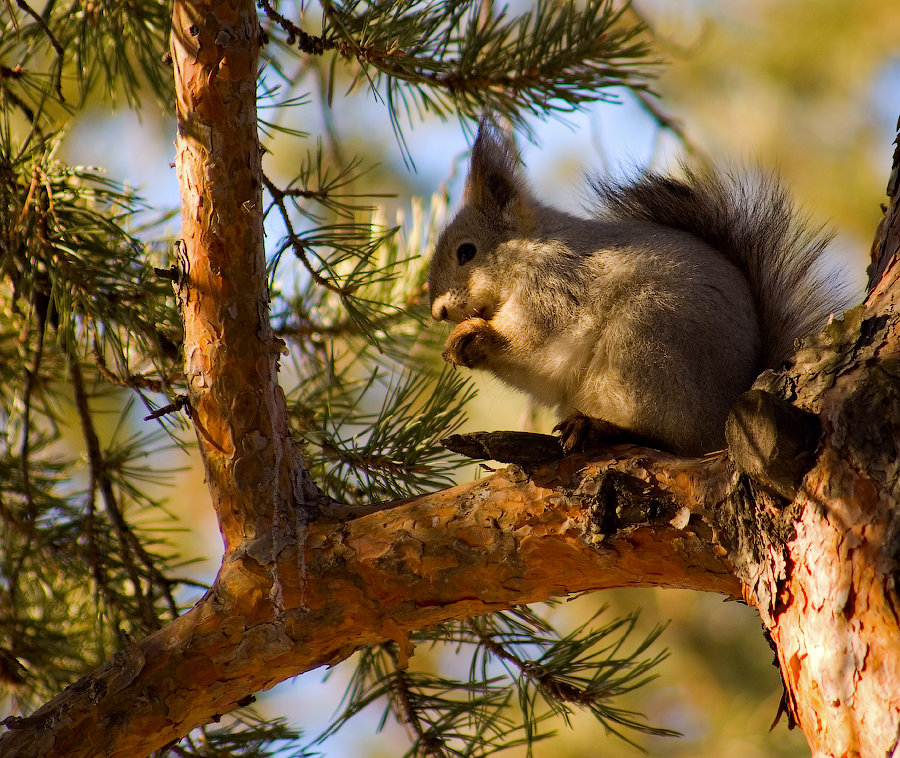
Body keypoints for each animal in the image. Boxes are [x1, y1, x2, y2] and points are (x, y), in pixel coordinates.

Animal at [426, 119, 856, 458]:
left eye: (466, 252)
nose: (438, 312)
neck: (531, 252)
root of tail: (725, 417)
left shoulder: (555, 287)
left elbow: (532, 343)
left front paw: (473, 334)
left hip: (645, 343)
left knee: (667, 439)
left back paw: (598, 428)